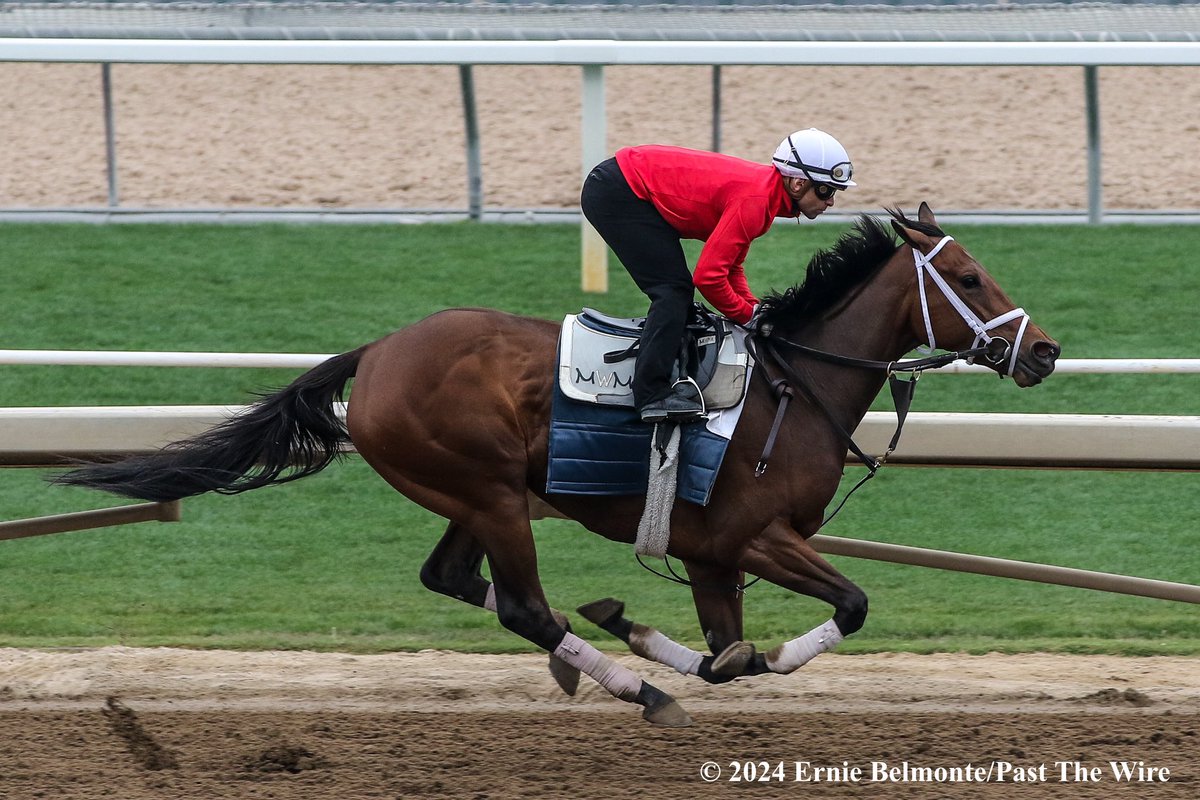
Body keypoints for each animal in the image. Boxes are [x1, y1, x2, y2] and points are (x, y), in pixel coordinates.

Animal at [54, 205, 1060, 724]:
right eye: (968, 278)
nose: (1044, 352)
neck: (791, 386)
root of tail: (377, 353)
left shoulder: (710, 555)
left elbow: (728, 657)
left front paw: (639, 628)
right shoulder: (751, 536)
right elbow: (837, 611)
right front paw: (661, 649)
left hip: (471, 495)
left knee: (454, 579)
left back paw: (597, 663)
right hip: (490, 491)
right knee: (523, 606)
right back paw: (633, 687)